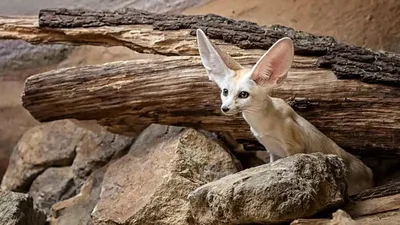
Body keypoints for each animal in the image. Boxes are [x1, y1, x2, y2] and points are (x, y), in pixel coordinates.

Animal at [195, 28, 374, 195]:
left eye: (243, 94)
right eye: (225, 92)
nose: (225, 108)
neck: (262, 124)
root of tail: (370, 173)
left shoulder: (293, 147)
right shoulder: (273, 152)